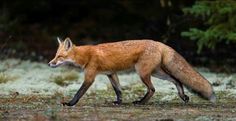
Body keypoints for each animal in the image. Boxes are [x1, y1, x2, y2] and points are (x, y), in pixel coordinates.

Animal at [48, 37, 216, 106]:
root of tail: (159, 43)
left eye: (59, 56)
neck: (86, 55)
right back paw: (183, 96)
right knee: (177, 79)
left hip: (142, 73)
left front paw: (70, 104)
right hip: (156, 72)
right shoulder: (111, 73)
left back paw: (140, 102)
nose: (50, 63)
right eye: (55, 55)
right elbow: (118, 90)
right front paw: (118, 102)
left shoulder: (90, 76)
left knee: (152, 89)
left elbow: (79, 92)